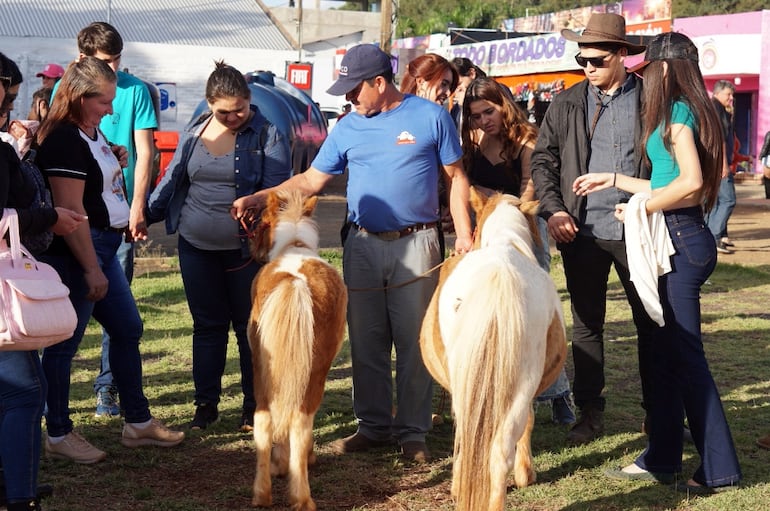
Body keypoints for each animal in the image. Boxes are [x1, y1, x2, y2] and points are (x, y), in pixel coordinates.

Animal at [246, 190, 344, 510]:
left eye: (260, 221)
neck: (295, 247)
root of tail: (294, 280)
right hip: (315, 374)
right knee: (300, 422)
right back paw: (301, 495)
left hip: (261, 371)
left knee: (264, 420)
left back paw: (262, 493)